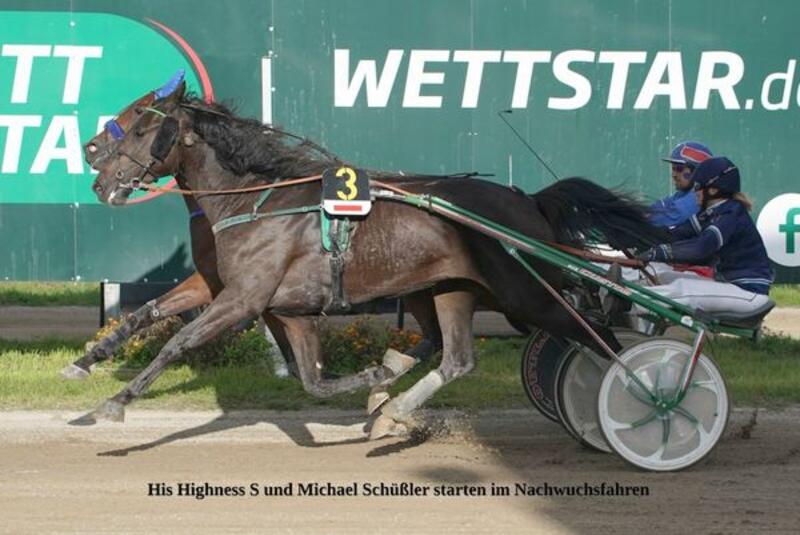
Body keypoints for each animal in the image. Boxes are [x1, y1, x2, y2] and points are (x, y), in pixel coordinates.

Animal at [86, 75, 666, 438]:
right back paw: (395, 409)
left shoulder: (244, 299)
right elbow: (312, 380)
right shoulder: (283, 308)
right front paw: (375, 382)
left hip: (527, 294)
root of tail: (528, 200)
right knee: (458, 357)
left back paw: (652, 400)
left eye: (140, 124)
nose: (96, 169)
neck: (255, 199)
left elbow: (178, 341)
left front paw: (111, 404)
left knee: (600, 334)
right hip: (450, 289)